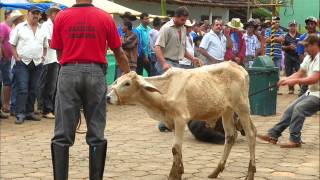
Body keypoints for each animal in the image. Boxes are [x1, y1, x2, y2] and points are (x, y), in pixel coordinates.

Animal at [107, 61, 258, 180]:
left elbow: (175, 148)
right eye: (117, 81)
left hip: (242, 107)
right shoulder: (173, 123)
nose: (108, 97)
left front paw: (173, 175)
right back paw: (215, 171)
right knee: (230, 136)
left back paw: (250, 174)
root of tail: (238, 67)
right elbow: (178, 149)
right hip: (227, 110)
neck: (165, 89)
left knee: (251, 134)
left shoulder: (180, 119)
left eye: (127, 83)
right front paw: (179, 171)